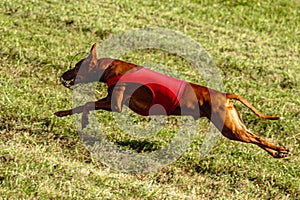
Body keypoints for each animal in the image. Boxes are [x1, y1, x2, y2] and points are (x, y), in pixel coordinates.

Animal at [55, 43, 290, 158]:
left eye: (77, 66)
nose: (63, 74)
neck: (110, 68)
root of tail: (225, 95)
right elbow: (86, 105)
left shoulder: (116, 104)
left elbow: (85, 104)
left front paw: (69, 115)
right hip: (234, 124)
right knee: (255, 136)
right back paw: (278, 153)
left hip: (229, 128)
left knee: (256, 139)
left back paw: (281, 150)